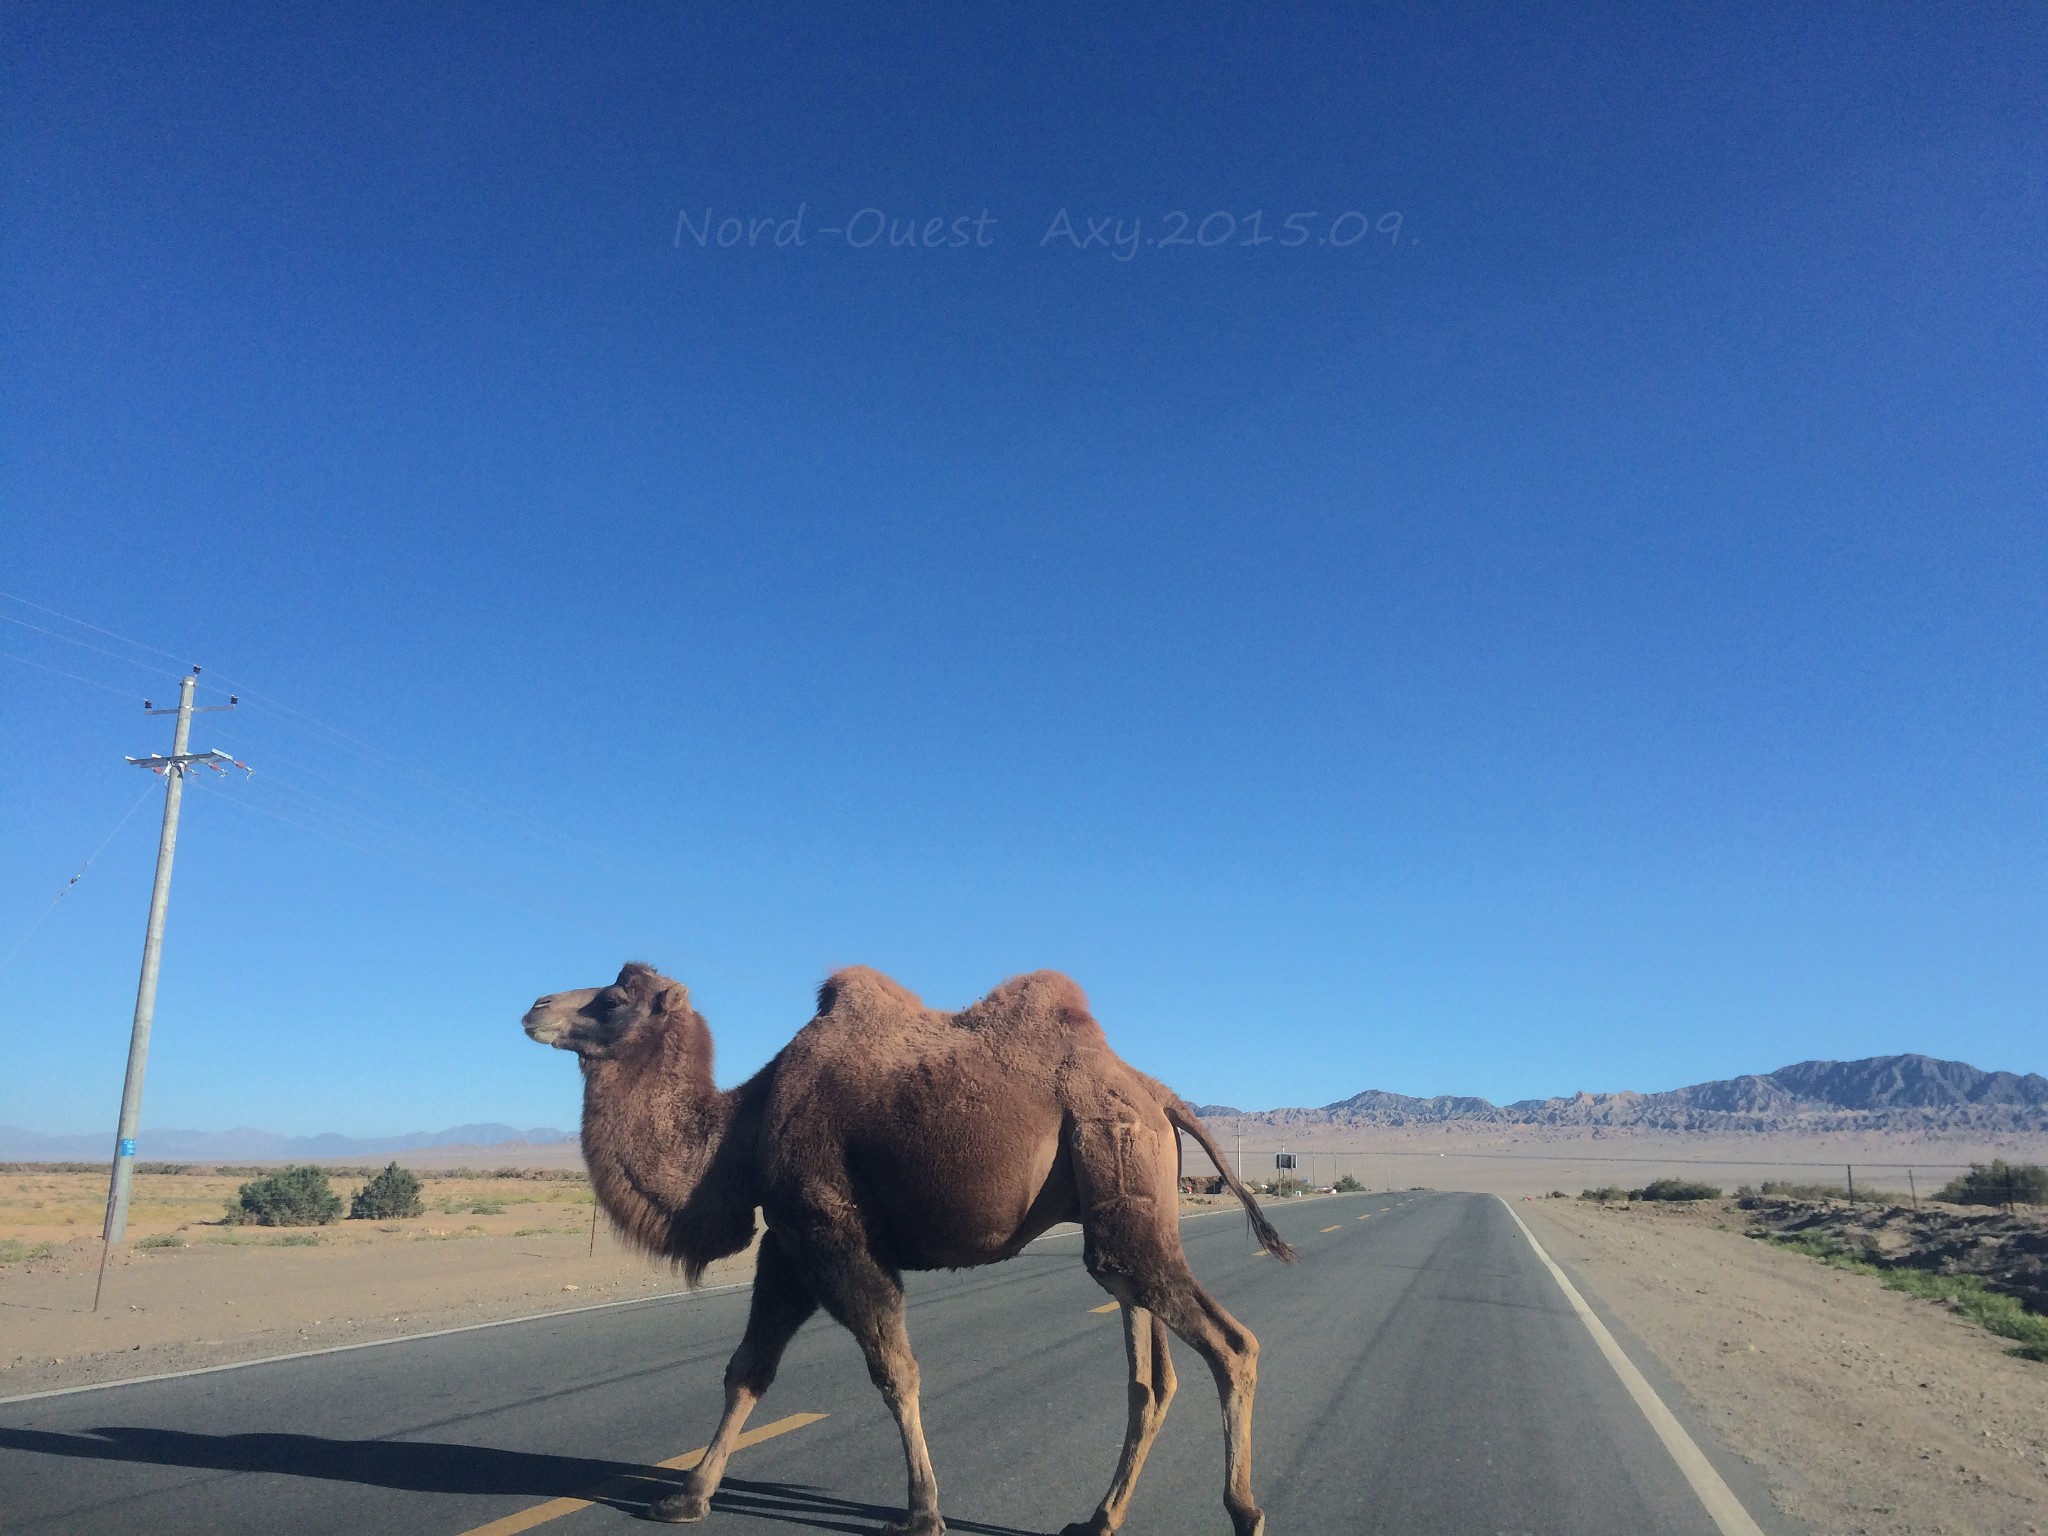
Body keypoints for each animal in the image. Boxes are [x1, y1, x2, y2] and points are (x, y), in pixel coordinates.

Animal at [528, 962, 1294, 1536]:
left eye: (614, 998)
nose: (535, 1007)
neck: (740, 1132)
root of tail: (1160, 1094)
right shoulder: (787, 1245)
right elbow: (747, 1370)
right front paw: (686, 1498)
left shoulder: (832, 1234)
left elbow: (895, 1370)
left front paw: (923, 1513)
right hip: (1119, 1214)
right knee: (1150, 1377)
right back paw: (1099, 1519)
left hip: (1117, 1166)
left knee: (1233, 1345)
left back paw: (1245, 1512)